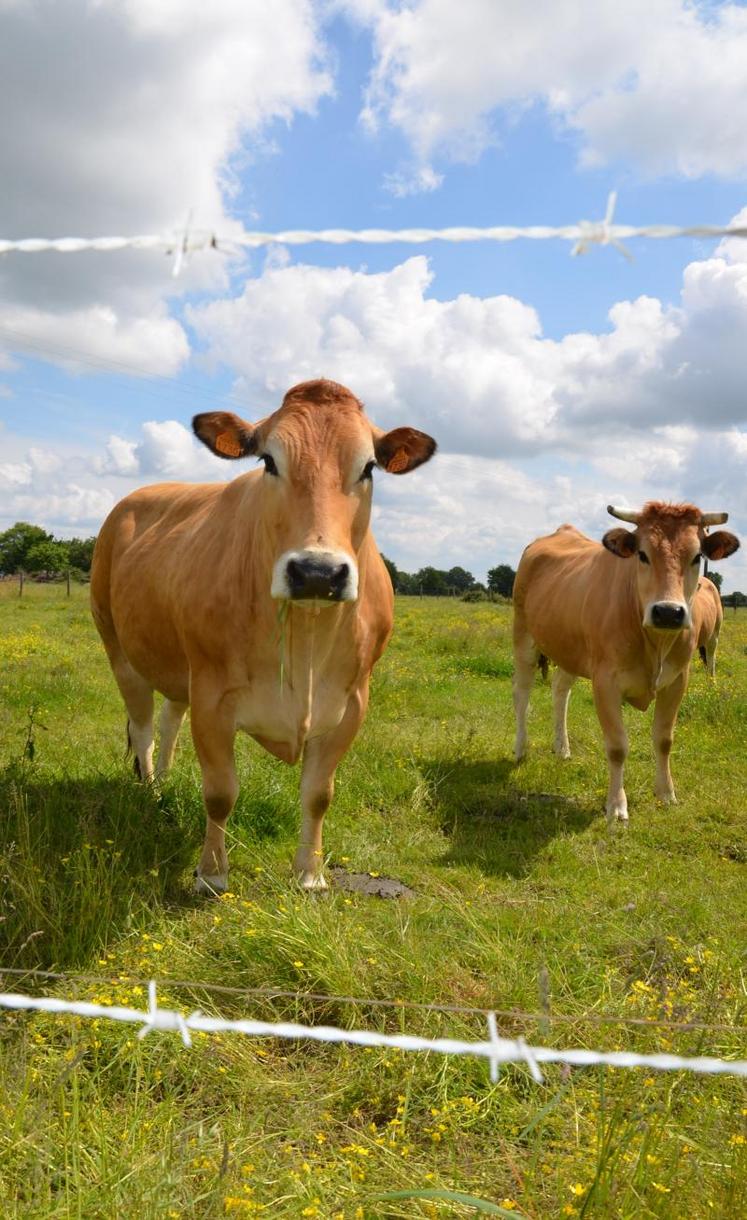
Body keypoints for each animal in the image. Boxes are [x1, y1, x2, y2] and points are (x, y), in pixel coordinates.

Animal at [90, 375, 436, 893]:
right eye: (269, 461)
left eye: (369, 466)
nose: (317, 572)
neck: (304, 637)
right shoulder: (212, 697)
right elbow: (219, 793)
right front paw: (211, 873)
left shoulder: (352, 703)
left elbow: (318, 794)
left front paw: (310, 875)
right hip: (119, 649)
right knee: (144, 727)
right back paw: (150, 789)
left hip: (177, 667)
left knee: (170, 718)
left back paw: (167, 782)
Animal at [510, 500, 737, 824]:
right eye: (642, 554)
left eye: (697, 556)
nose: (668, 612)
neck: (654, 643)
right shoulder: (605, 681)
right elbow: (617, 746)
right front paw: (616, 805)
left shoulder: (677, 680)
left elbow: (664, 739)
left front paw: (666, 793)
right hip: (523, 637)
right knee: (522, 694)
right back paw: (521, 749)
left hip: (570, 649)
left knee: (560, 691)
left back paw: (562, 747)